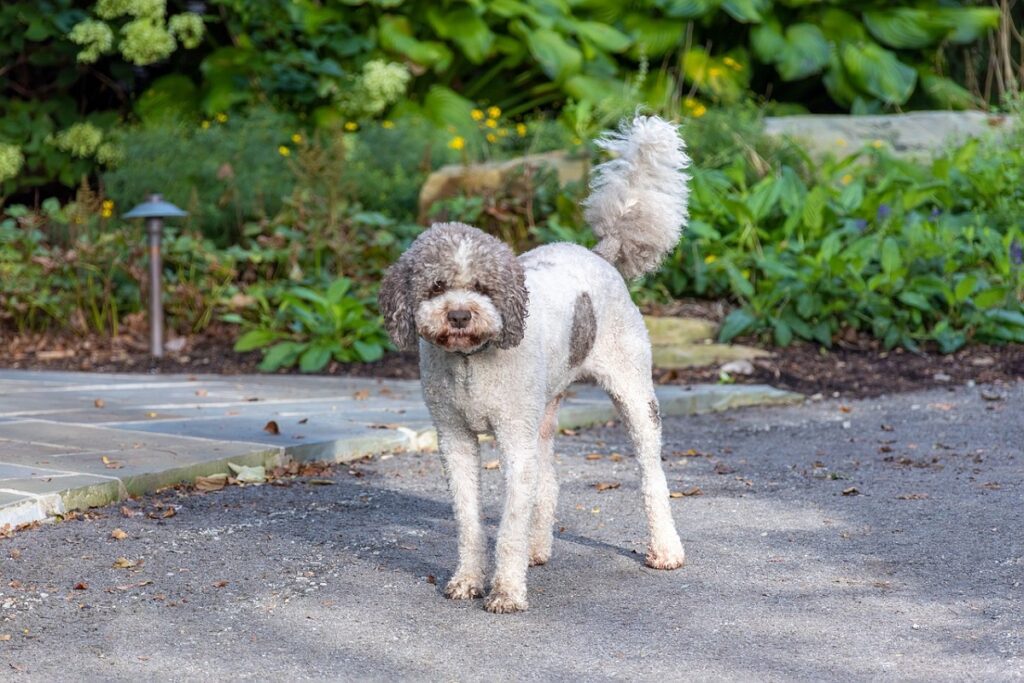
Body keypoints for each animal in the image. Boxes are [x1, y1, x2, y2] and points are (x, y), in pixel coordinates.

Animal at [380, 113, 692, 614]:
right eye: (436, 285)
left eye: (483, 286)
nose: (459, 314)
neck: (471, 363)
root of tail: (601, 253)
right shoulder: (455, 439)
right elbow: (470, 521)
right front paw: (468, 580)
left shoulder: (513, 441)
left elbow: (508, 525)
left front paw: (506, 591)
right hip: (543, 414)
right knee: (548, 483)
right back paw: (537, 549)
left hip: (634, 396)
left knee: (652, 476)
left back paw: (665, 549)